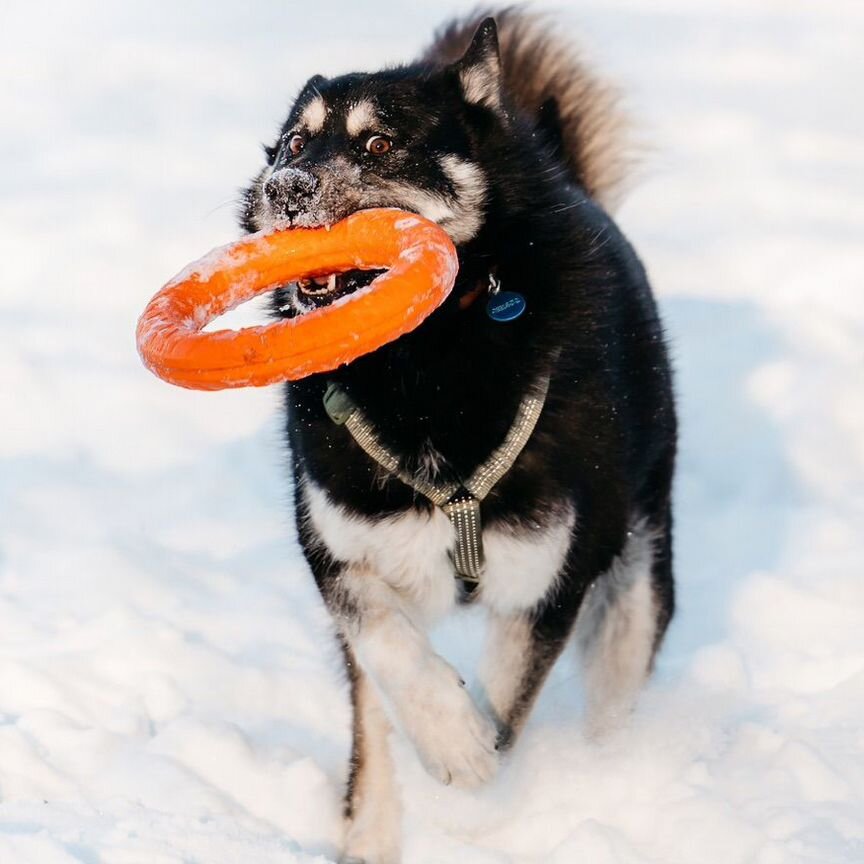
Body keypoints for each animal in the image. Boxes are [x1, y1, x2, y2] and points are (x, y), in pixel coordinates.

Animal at [241, 8, 676, 864]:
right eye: (292, 143)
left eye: (380, 143)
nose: (284, 189)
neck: (423, 366)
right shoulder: (341, 551)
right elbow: (388, 654)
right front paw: (452, 744)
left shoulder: (551, 577)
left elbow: (509, 690)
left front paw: (479, 780)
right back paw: (373, 830)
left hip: (637, 572)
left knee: (617, 682)